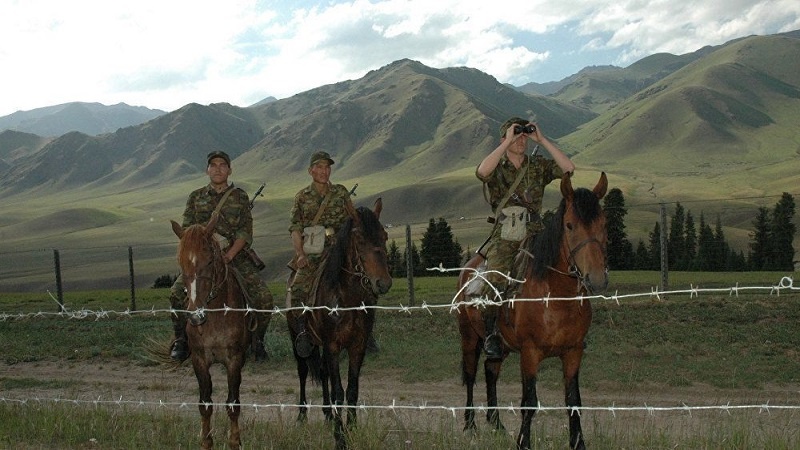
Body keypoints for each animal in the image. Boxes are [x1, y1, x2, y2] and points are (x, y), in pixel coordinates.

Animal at [170, 216, 252, 448]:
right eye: (181, 262)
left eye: (208, 261)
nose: (195, 316)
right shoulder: (199, 360)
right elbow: (205, 403)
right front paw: (206, 441)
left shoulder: (234, 360)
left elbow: (233, 403)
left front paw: (234, 441)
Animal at [290, 199, 394, 448]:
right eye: (360, 240)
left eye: (384, 236)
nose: (383, 283)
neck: (347, 299)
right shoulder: (333, 346)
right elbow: (339, 390)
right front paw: (340, 437)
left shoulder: (357, 346)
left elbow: (352, 389)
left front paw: (352, 429)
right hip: (297, 339)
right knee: (302, 371)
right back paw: (302, 415)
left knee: (323, 372)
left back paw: (328, 413)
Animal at [456, 172, 608, 450]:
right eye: (569, 225)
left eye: (603, 224)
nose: (597, 279)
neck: (556, 297)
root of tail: (468, 267)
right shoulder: (530, 352)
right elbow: (528, 401)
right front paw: (523, 442)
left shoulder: (573, 352)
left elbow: (574, 401)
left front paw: (578, 442)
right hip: (469, 336)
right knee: (471, 375)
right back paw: (470, 425)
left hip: (501, 346)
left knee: (490, 371)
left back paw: (496, 424)